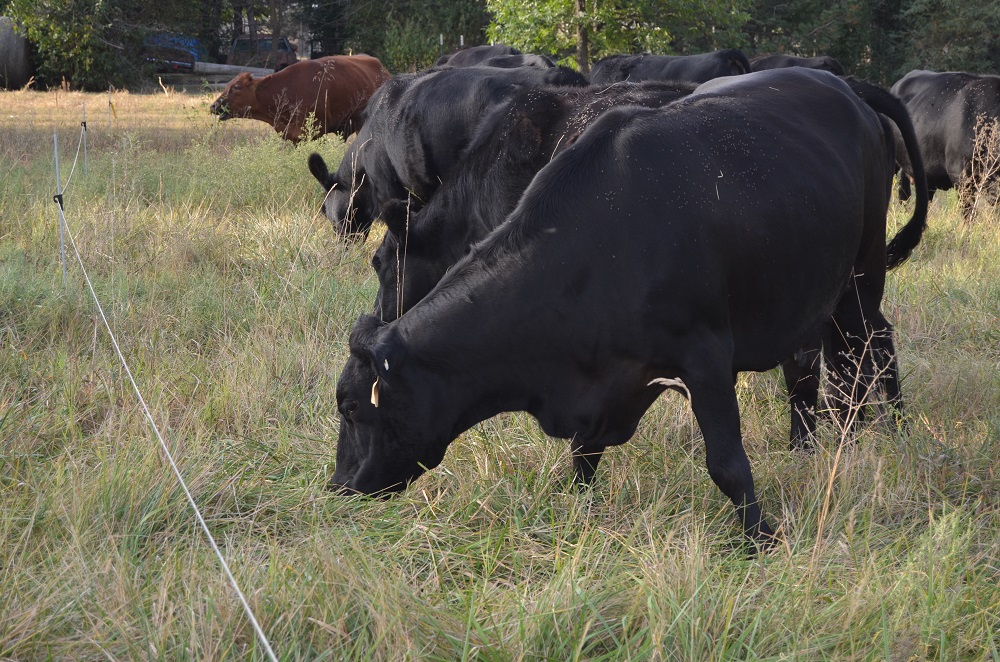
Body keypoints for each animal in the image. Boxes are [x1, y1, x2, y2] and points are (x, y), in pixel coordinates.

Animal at [330, 70, 928, 548]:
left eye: (353, 408)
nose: (339, 488)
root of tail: (843, 84)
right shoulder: (606, 381)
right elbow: (582, 454)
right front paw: (574, 510)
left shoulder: (705, 355)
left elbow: (728, 465)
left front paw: (762, 540)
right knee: (833, 361)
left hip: (860, 277)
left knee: (863, 350)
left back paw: (874, 438)